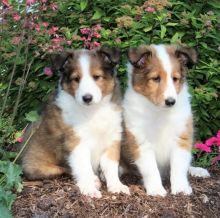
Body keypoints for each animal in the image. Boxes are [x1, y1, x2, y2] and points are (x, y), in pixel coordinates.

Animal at [19, 46, 130, 198]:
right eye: (76, 79)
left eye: (97, 77)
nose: (87, 98)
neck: (93, 110)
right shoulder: (76, 141)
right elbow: (83, 166)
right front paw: (89, 188)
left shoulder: (112, 138)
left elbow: (110, 165)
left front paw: (117, 186)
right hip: (39, 168)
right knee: (66, 168)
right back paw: (93, 179)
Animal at [122, 43, 210, 196]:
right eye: (156, 78)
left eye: (175, 78)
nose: (170, 102)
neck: (159, 111)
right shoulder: (141, 141)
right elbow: (151, 169)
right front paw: (156, 189)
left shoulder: (181, 137)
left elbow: (179, 167)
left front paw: (180, 188)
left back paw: (197, 170)